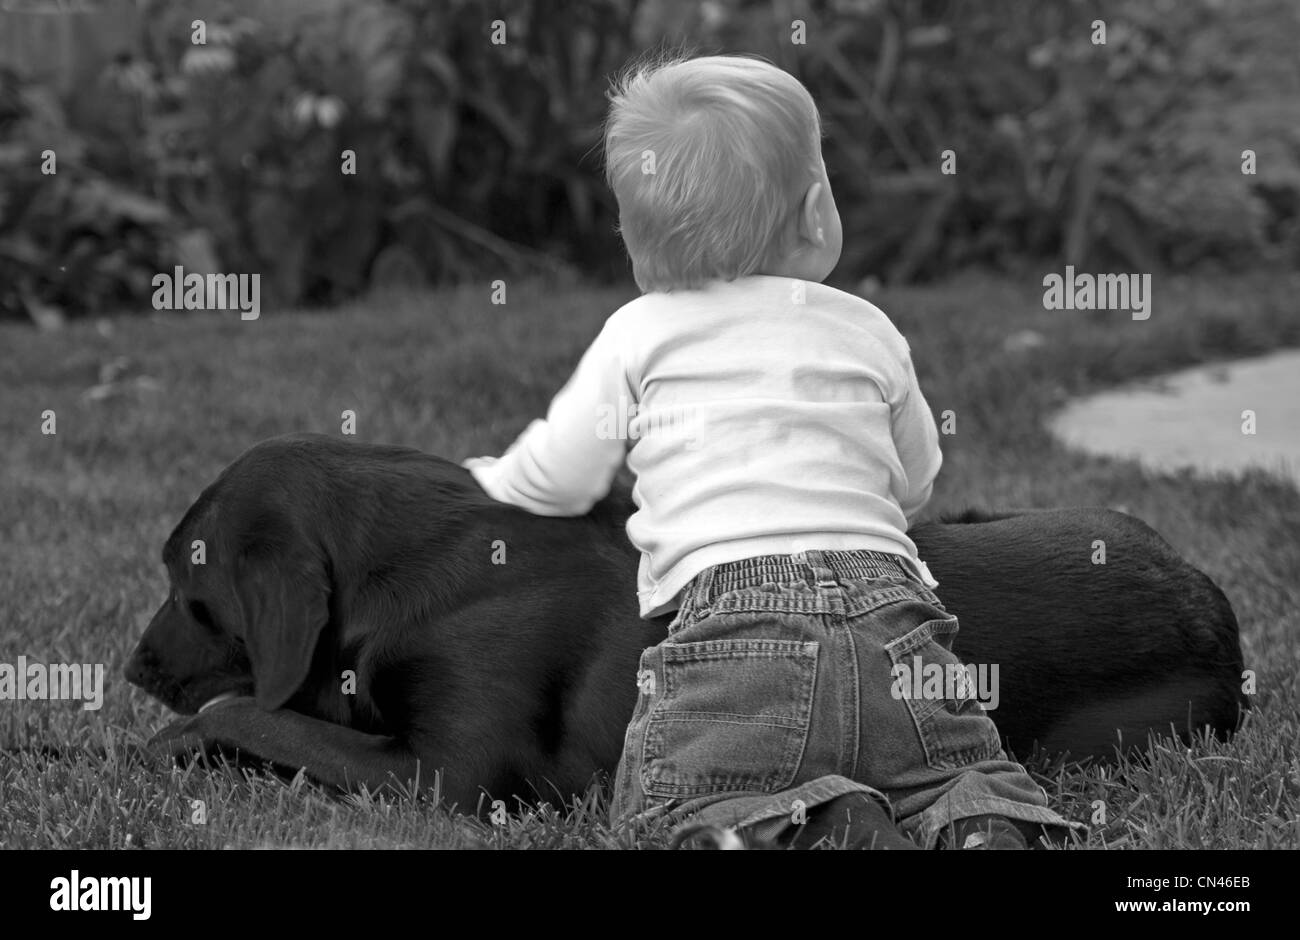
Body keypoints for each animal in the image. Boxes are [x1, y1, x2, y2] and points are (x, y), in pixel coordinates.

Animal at [124, 436, 1248, 811]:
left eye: (189, 592)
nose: (132, 670)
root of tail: (1215, 601)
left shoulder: (448, 774)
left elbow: (253, 711)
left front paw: (177, 740)